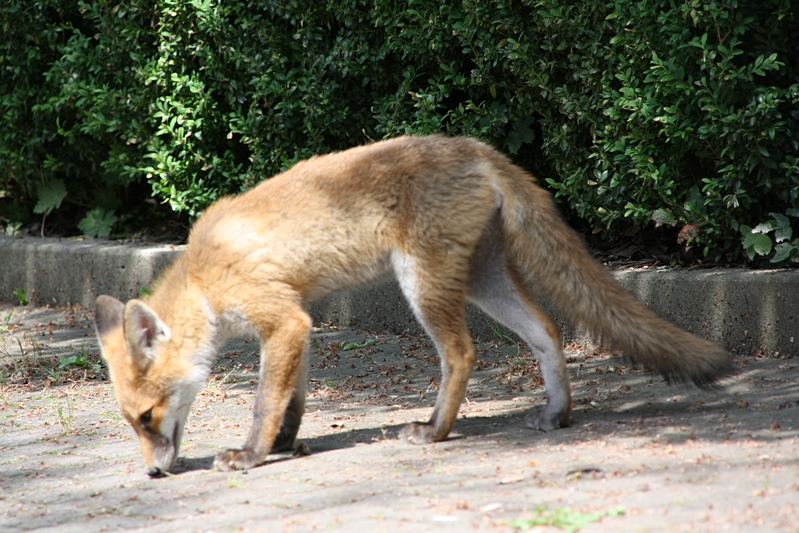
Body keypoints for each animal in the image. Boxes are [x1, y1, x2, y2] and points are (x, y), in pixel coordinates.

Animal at [92, 135, 732, 476]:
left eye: (146, 417)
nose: (152, 471)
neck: (204, 275)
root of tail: (475, 148)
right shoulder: (299, 322)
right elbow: (291, 400)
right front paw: (286, 444)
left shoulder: (283, 319)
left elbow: (264, 402)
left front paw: (252, 454)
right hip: (483, 281)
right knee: (548, 331)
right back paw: (557, 414)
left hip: (421, 283)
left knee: (463, 353)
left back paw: (435, 431)